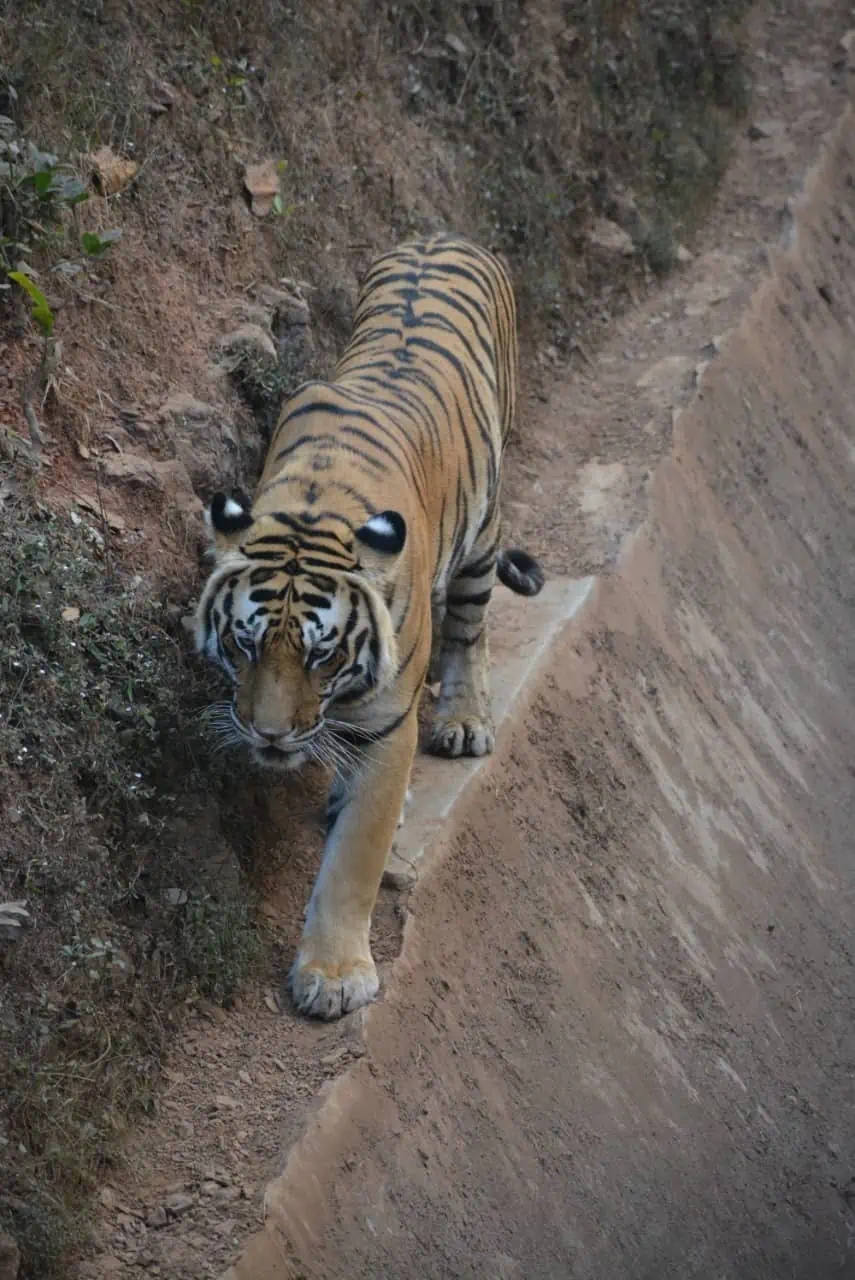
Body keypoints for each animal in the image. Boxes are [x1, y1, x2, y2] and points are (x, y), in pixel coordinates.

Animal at [193, 233, 544, 1020]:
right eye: (244, 644)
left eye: (321, 655)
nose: (270, 736)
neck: (310, 509)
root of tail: (442, 234)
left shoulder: (386, 727)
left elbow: (356, 856)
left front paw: (332, 975)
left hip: (483, 528)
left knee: (470, 627)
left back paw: (463, 718)